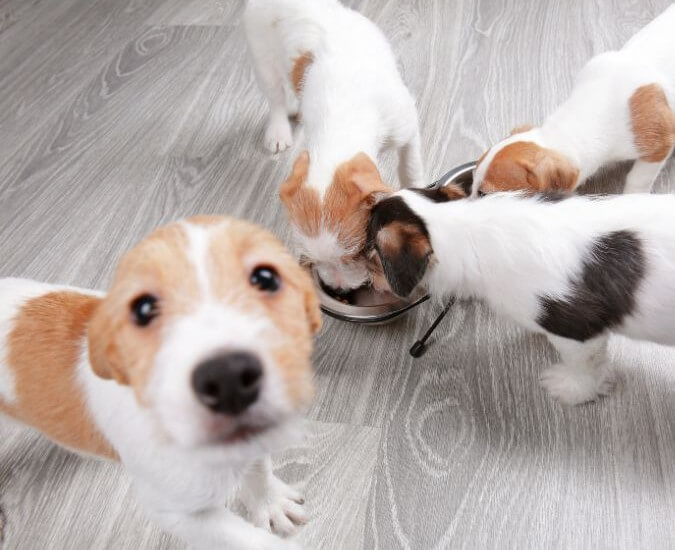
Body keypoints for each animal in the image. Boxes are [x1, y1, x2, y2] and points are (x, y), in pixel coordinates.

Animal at [0, 216, 322, 550]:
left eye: (265, 278)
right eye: (143, 309)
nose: (228, 378)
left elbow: (258, 470)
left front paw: (269, 503)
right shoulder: (179, 513)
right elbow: (251, 541)